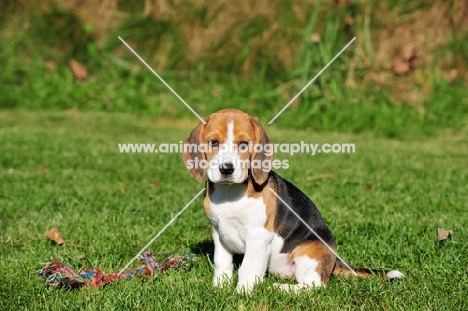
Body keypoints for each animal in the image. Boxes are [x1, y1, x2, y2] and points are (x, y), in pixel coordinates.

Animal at [183, 109, 402, 292]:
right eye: (213, 143)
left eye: (243, 144)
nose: (226, 169)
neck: (231, 192)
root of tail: (334, 261)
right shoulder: (219, 232)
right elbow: (222, 264)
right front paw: (219, 288)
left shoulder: (258, 236)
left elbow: (248, 268)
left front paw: (242, 294)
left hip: (308, 254)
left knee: (313, 286)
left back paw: (277, 288)